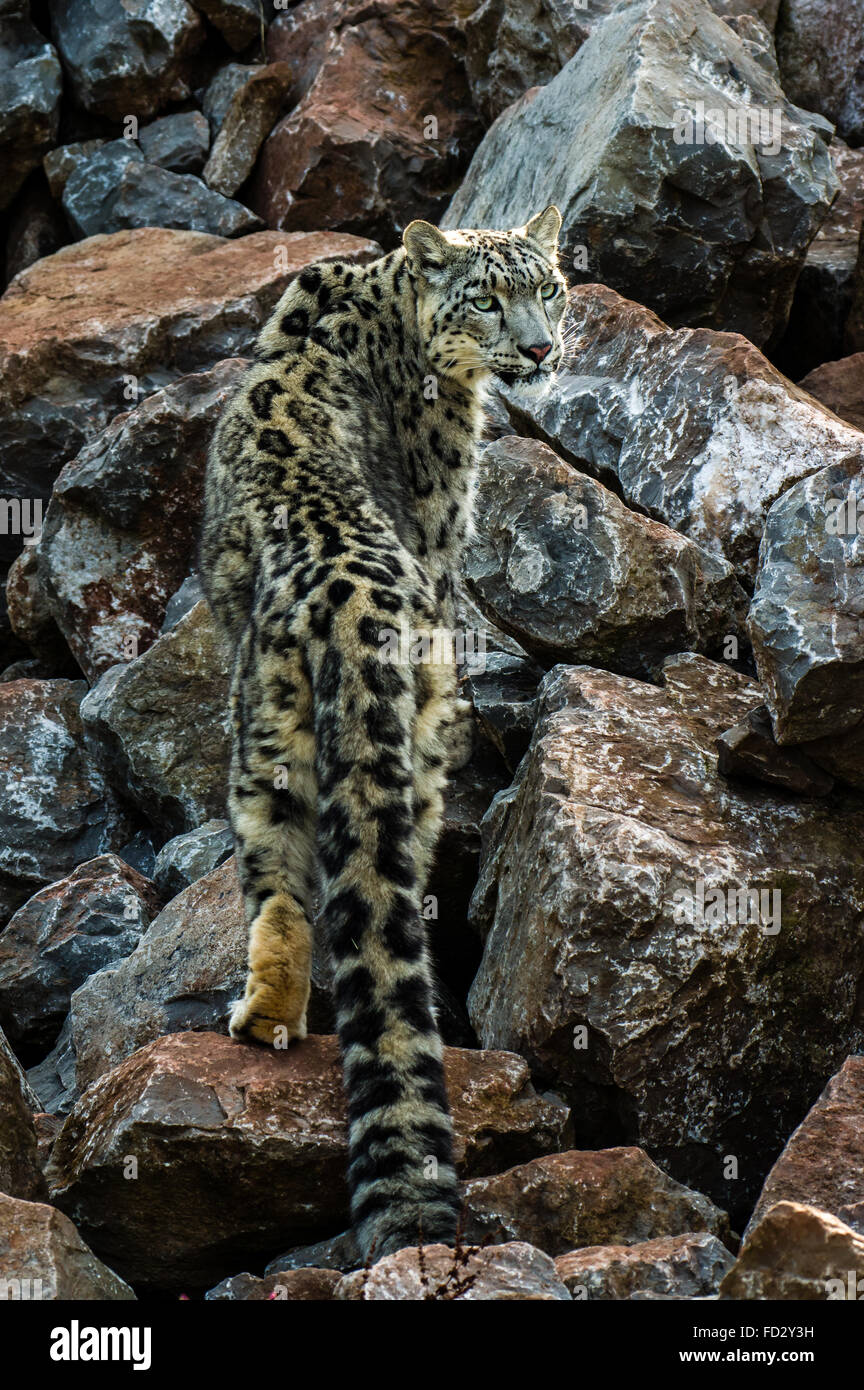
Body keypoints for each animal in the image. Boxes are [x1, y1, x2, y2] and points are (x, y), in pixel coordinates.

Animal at [198, 205, 567, 1260]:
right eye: (488, 298)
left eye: (551, 288)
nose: (540, 348)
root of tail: (343, 603)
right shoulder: (446, 527)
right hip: (423, 728)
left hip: (262, 743)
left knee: (280, 889)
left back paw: (264, 1018)